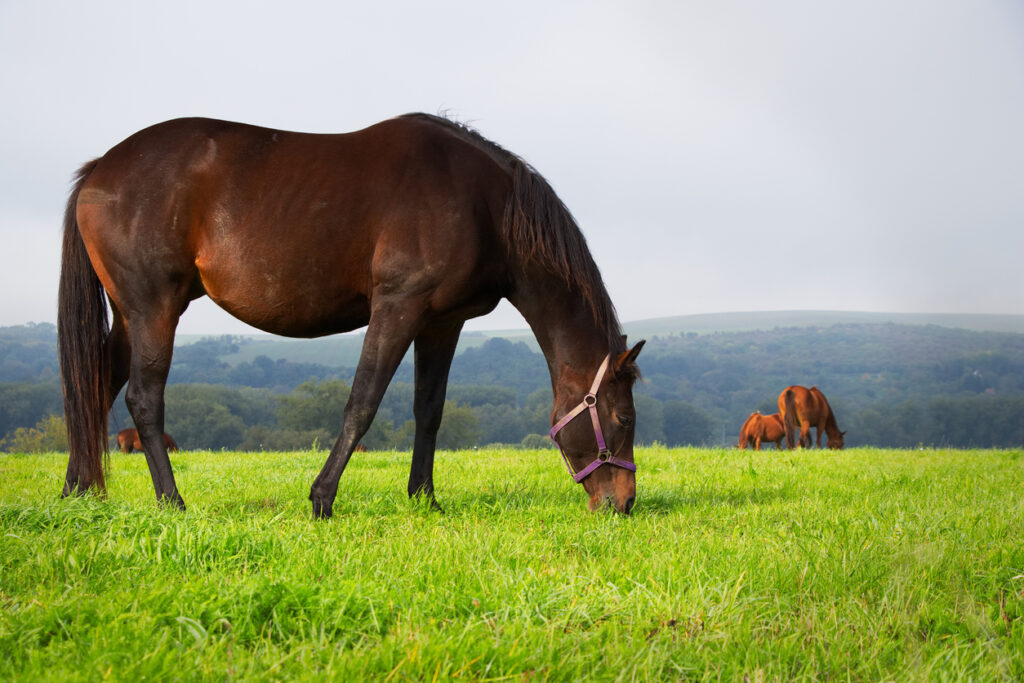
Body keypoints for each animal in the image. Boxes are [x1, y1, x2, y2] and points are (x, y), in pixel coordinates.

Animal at [58, 114, 645, 517]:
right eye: (623, 420)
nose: (624, 503)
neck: (485, 205)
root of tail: (99, 168)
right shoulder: (398, 305)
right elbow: (362, 402)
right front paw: (322, 498)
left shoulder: (441, 322)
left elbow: (429, 409)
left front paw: (424, 499)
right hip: (154, 308)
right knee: (142, 398)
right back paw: (171, 501)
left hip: (130, 317)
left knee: (94, 386)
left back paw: (77, 490)